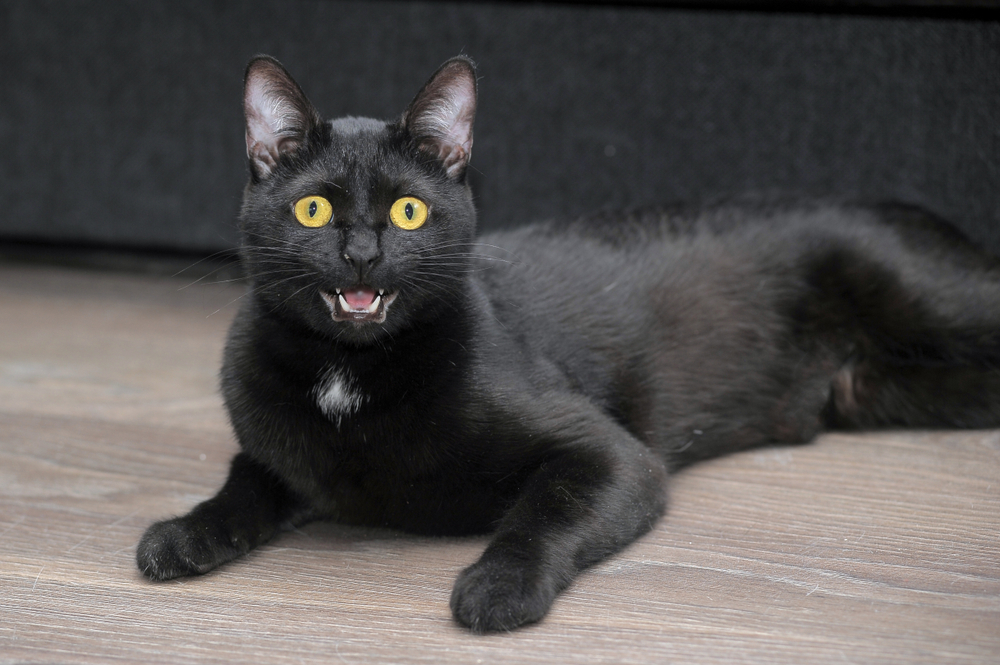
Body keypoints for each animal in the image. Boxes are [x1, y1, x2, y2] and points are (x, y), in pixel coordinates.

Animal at [135, 54, 1000, 632]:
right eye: (313, 209)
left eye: (409, 211)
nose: (361, 252)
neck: (350, 371)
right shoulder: (280, 453)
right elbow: (243, 485)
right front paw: (183, 532)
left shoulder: (614, 456)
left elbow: (543, 511)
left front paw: (496, 587)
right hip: (879, 389)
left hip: (935, 298)